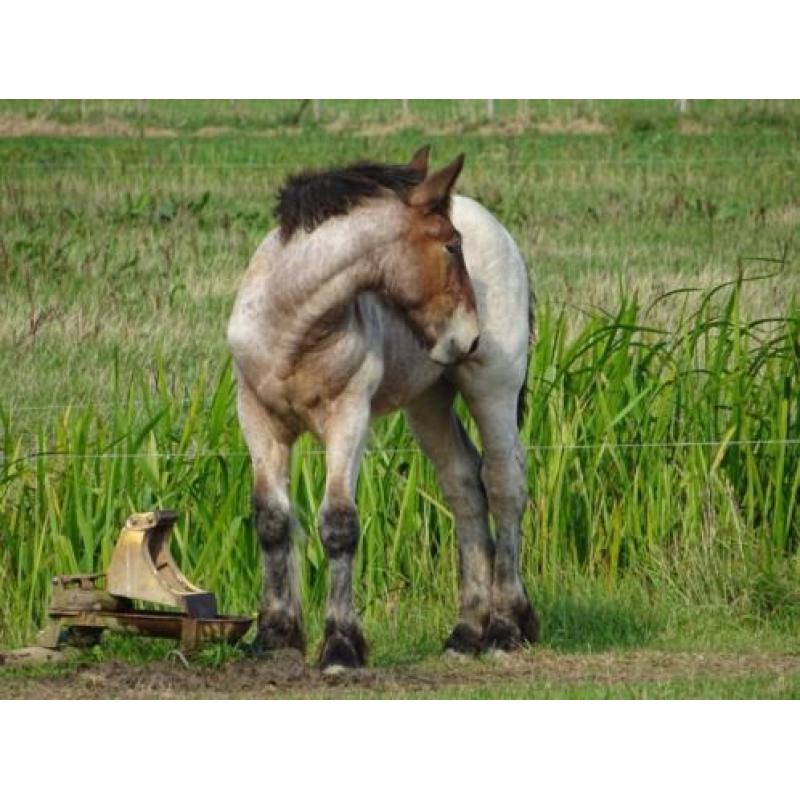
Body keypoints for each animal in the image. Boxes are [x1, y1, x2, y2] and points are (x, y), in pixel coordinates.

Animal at [227, 147, 536, 672]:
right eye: (451, 246)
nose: (468, 338)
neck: (290, 326)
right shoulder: (259, 419)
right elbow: (271, 520)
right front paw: (274, 637)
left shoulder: (349, 416)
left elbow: (339, 524)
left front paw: (340, 645)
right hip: (429, 401)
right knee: (464, 488)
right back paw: (464, 633)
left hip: (492, 388)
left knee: (503, 486)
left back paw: (503, 629)